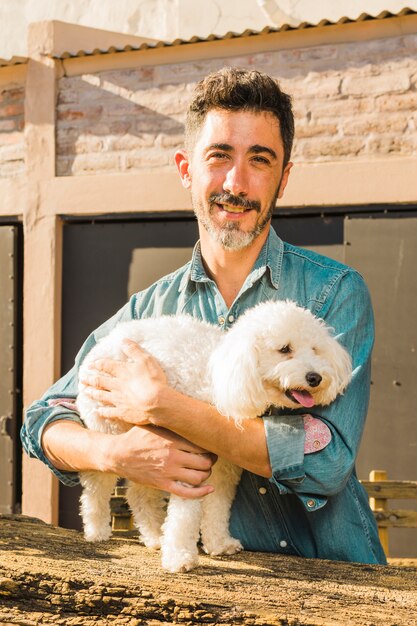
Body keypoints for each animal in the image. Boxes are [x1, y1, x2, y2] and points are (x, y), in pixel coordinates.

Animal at [77, 302, 352, 572]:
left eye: (315, 350)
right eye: (284, 349)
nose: (315, 377)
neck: (220, 374)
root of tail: (107, 339)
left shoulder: (224, 467)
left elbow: (218, 505)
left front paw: (219, 543)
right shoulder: (187, 460)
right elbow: (185, 514)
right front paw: (180, 558)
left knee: (140, 493)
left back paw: (155, 536)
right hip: (109, 427)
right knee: (96, 483)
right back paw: (97, 529)